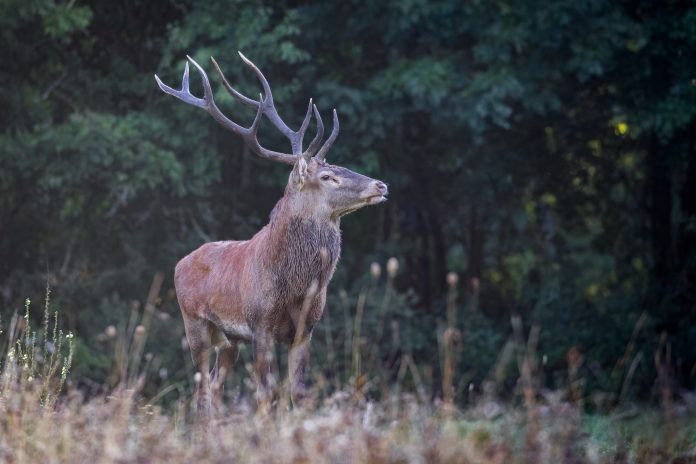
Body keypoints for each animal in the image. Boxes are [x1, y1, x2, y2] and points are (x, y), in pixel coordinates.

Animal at [155, 53, 388, 413]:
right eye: (327, 176)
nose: (381, 185)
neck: (294, 287)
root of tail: (181, 263)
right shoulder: (259, 324)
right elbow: (266, 392)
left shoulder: (306, 329)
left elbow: (301, 392)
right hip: (195, 323)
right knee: (201, 391)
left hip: (229, 339)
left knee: (216, 387)